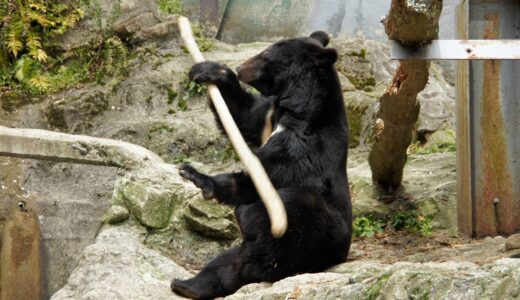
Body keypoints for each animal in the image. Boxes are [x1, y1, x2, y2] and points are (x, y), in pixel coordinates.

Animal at [173, 31, 352, 298]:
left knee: (281, 230)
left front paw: (196, 175)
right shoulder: (268, 116)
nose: (241, 68)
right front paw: (210, 71)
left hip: (315, 233)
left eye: (266, 55)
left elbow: (262, 176)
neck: (297, 110)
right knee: (224, 262)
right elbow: (246, 116)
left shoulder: (303, 147)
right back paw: (187, 284)